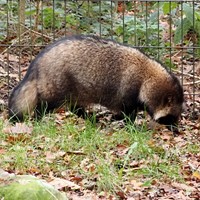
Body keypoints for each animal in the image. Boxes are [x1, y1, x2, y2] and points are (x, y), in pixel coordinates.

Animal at [9, 35, 184, 132]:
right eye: (172, 117)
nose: (177, 131)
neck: (147, 77)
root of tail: (37, 62)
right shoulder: (128, 92)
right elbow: (128, 114)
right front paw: (130, 126)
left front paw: (116, 119)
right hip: (57, 85)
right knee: (46, 104)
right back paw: (40, 117)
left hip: (77, 90)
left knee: (75, 107)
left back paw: (88, 117)